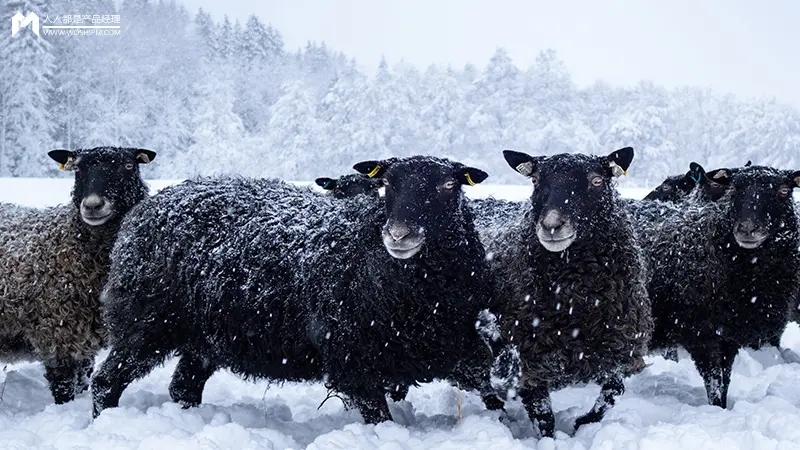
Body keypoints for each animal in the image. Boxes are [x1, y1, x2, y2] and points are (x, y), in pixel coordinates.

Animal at [92, 156, 500, 422]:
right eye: (388, 185)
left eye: (449, 185)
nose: (399, 235)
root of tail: (145, 208)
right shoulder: (352, 358)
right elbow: (380, 416)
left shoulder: (454, 342)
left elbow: (489, 387)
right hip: (145, 322)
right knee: (105, 382)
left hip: (206, 336)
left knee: (184, 387)